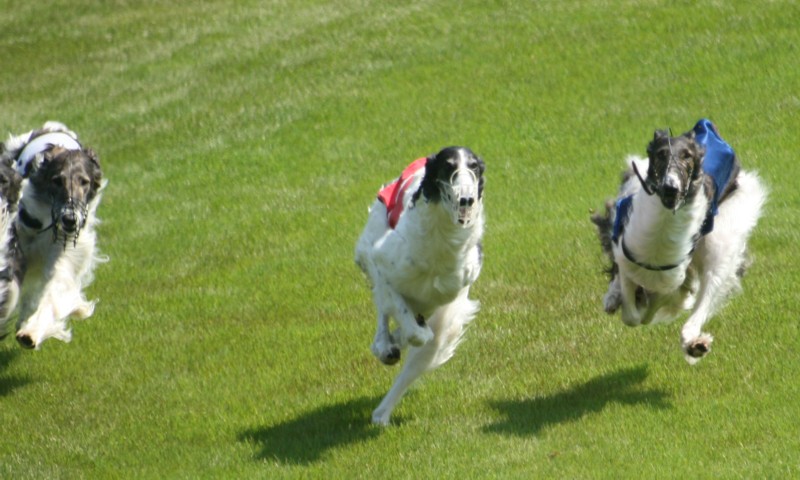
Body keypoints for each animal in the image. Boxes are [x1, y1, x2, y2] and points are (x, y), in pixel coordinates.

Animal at [0, 121, 106, 349]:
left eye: (84, 181)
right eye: (57, 180)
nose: (70, 220)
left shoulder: (65, 253)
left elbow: (55, 289)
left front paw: (30, 332)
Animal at [355, 146, 485, 425]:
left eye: (474, 167)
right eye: (448, 166)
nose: (466, 199)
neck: (441, 241)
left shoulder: (448, 295)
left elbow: (421, 332)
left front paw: (401, 338)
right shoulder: (379, 261)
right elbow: (410, 325)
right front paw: (390, 343)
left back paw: (382, 413)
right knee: (385, 313)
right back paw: (385, 347)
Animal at [592, 119, 766, 364]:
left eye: (687, 157)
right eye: (661, 154)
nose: (671, 188)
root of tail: (704, 126)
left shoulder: (671, 280)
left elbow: (650, 310)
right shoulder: (626, 254)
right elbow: (632, 313)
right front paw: (617, 297)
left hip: (722, 241)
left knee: (698, 307)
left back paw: (695, 344)